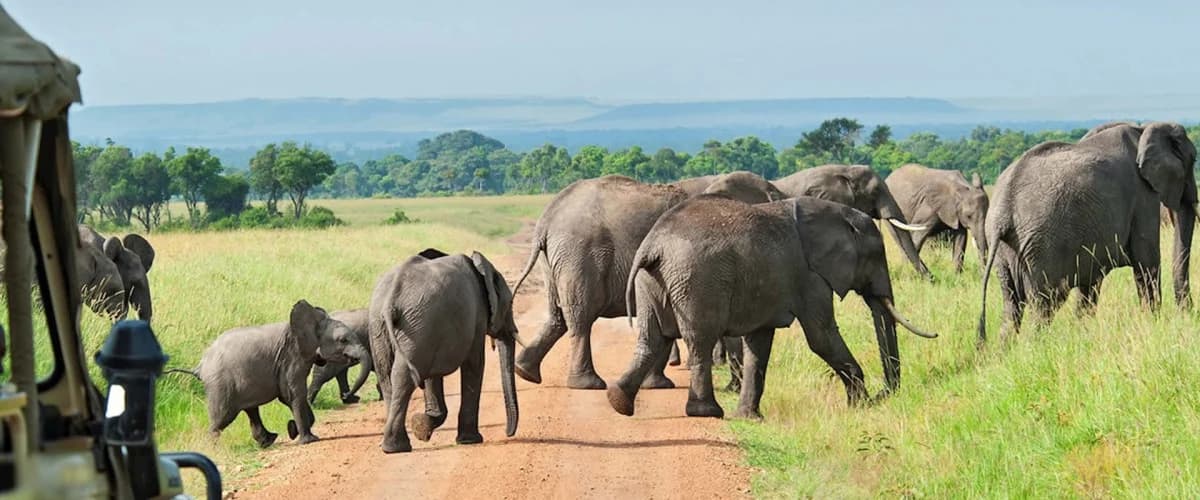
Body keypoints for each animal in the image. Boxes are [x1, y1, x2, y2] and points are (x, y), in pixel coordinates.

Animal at [179, 300, 368, 447]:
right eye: (343, 340)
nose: (348, 396)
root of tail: (200, 365)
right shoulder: (292, 358)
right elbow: (293, 394)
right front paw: (309, 440)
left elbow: (288, 397)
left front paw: (292, 430)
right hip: (220, 385)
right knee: (222, 418)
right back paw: (213, 449)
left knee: (251, 410)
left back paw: (268, 441)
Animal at [368, 248, 519, 454]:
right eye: (510, 303)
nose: (507, 433)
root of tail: (391, 298)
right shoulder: (476, 318)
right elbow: (475, 364)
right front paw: (469, 440)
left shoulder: (434, 332)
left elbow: (433, 377)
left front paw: (421, 427)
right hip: (415, 326)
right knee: (404, 376)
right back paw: (397, 447)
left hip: (388, 327)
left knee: (387, 376)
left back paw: (394, 446)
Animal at [512, 173, 783, 390]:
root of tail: (546, 219)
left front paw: (657, 385)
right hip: (580, 254)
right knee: (581, 316)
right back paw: (588, 384)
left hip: (556, 259)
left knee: (557, 315)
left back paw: (524, 371)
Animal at [608, 195, 937, 420]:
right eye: (876, 256)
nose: (884, 395)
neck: (836, 214)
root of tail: (653, 245)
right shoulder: (809, 276)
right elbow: (821, 336)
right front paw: (860, 406)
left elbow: (759, 342)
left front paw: (750, 418)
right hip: (696, 280)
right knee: (700, 340)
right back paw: (707, 412)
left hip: (653, 281)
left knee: (652, 338)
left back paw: (618, 401)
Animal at [978, 121, 1196, 344]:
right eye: (1194, 159)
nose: (1188, 313)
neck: (1142, 128)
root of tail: (1003, 211)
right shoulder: (1143, 195)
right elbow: (1147, 262)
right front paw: (1153, 324)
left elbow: (1090, 284)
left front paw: (1082, 333)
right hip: (1041, 249)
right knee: (1045, 304)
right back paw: (1036, 345)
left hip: (1005, 251)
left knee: (1011, 307)